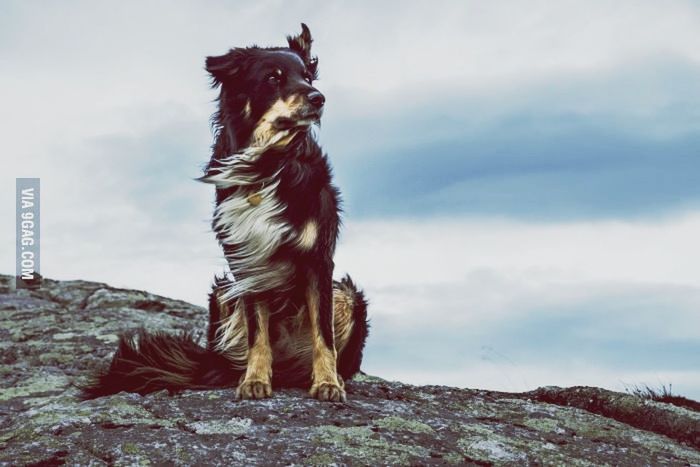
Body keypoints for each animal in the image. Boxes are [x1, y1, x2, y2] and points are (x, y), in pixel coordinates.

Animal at [84, 23, 370, 402]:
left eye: (307, 77)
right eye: (274, 78)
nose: (318, 98)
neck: (267, 163)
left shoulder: (318, 259)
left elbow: (323, 335)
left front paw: (327, 383)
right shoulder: (247, 259)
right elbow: (257, 332)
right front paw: (254, 380)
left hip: (346, 295)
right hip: (224, 291)